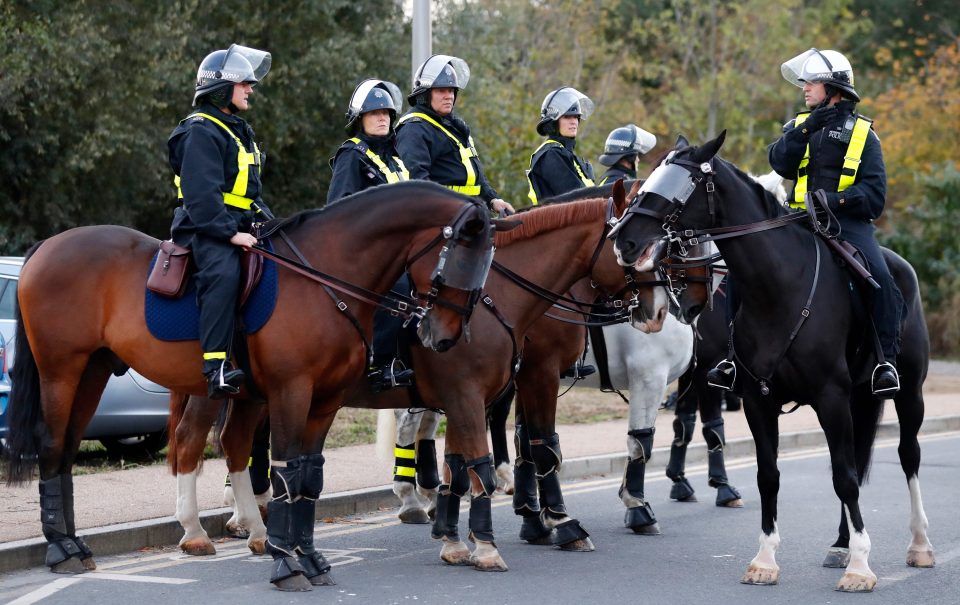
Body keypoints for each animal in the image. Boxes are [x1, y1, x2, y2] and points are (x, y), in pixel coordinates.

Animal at [9, 180, 496, 588]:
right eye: (461, 256)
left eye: (488, 260)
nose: (445, 336)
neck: (323, 276)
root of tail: (47, 245)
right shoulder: (290, 392)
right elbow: (285, 471)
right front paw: (286, 562)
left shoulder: (325, 401)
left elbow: (309, 476)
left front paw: (308, 558)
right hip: (63, 371)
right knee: (58, 443)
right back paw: (68, 548)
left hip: (93, 372)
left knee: (72, 449)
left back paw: (78, 544)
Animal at [612, 132, 932, 588]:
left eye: (681, 185)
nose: (624, 241)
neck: (779, 287)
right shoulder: (757, 400)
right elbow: (770, 476)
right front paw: (765, 560)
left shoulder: (830, 398)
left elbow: (845, 478)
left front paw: (860, 566)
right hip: (857, 396)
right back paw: (840, 544)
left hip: (907, 394)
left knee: (908, 455)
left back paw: (919, 544)